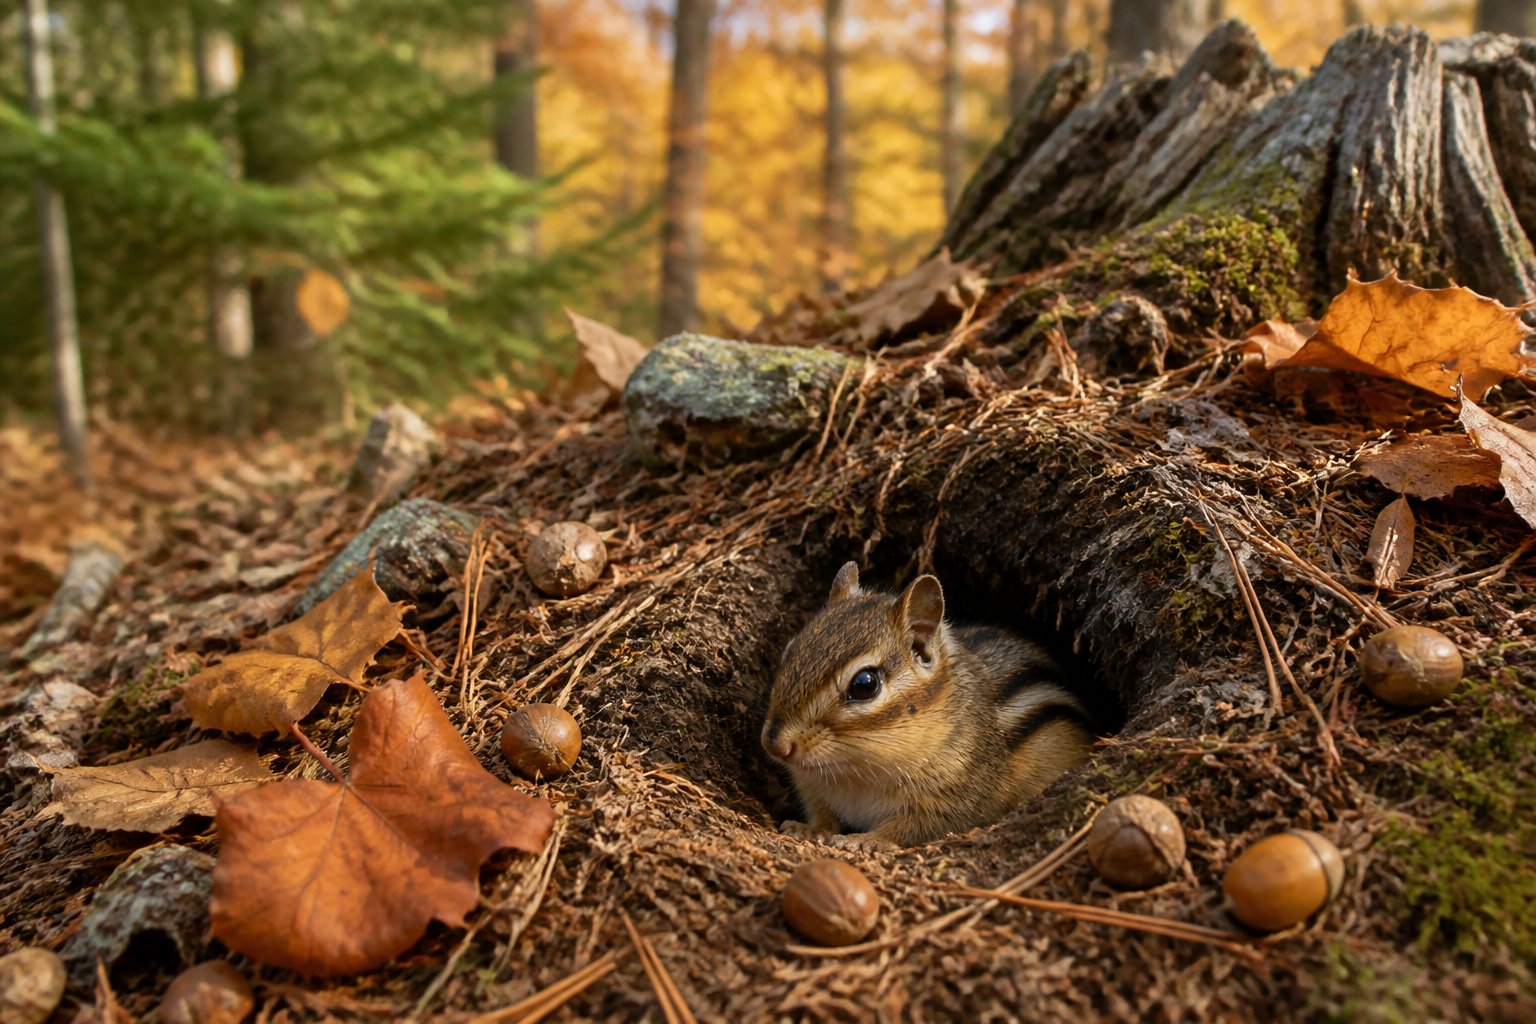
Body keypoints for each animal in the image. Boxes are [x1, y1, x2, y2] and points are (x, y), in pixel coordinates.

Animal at [761, 561, 1096, 850]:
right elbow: (823, 814)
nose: (776, 745)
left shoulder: (956, 800)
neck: (855, 773)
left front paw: (867, 839)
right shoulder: (812, 786)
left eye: (865, 684)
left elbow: (910, 828)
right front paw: (809, 828)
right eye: (789, 651)